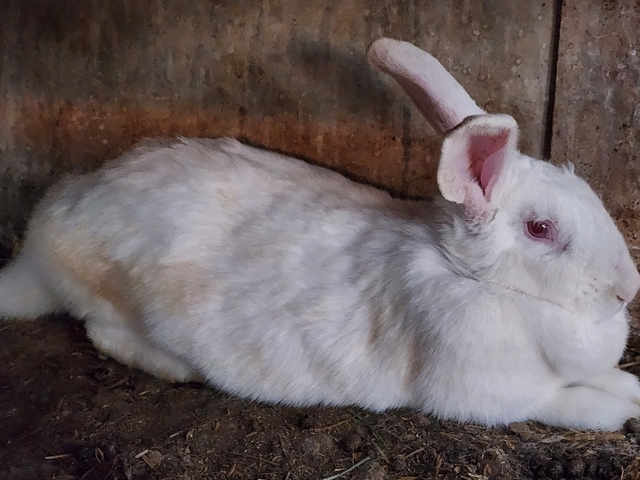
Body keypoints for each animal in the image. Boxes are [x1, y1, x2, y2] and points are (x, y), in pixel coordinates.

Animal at [1, 37, 640, 431]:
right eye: (540, 229)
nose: (626, 289)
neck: (473, 277)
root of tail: (40, 244)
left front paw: (626, 386)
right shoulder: (491, 394)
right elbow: (566, 403)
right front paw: (621, 406)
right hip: (112, 297)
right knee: (100, 330)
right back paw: (179, 369)